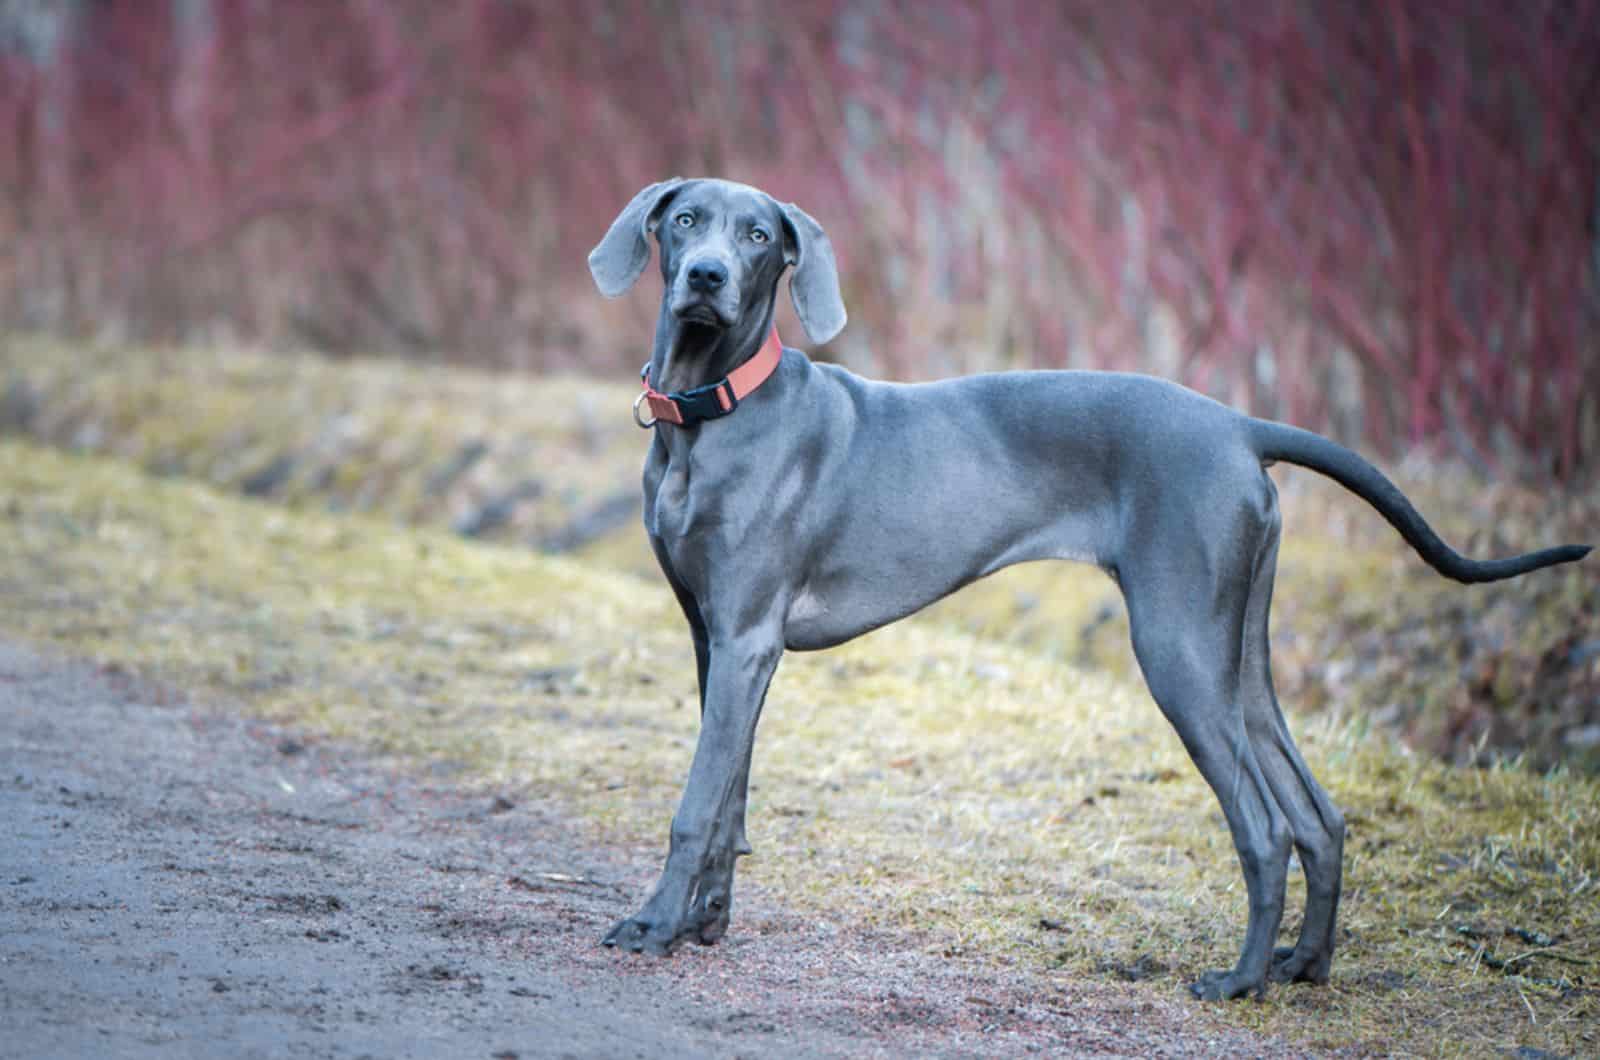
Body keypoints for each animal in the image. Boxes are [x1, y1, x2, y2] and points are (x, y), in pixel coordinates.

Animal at [585, 178, 1587, 999]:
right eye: (686, 221)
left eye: (758, 235)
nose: (706, 277)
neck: (710, 416)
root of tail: (1239, 425)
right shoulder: (718, 640)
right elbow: (730, 798)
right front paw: (705, 924)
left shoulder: (747, 637)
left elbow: (695, 804)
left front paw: (655, 925)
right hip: (1237, 655)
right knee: (1320, 815)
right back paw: (1304, 966)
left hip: (1177, 649)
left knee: (1265, 827)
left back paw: (1240, 982)